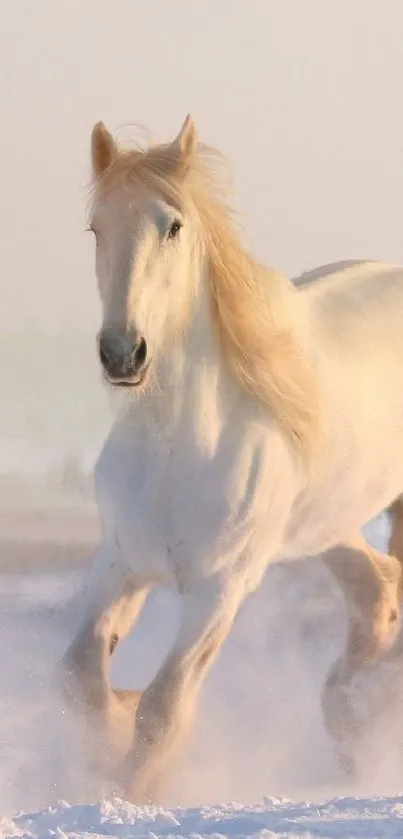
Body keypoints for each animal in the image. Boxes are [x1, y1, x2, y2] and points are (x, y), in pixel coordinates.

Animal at [60, 115, 403, 804]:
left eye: (172, 225)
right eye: (95, 228)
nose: (123, 353)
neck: (177, 446)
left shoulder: (220, 589)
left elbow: (163, 708)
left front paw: (131, 791)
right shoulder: (120, 563)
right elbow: (80, 678)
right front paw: (106, 745)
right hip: (328, 522)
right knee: (378, 588)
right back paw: (352, 722)